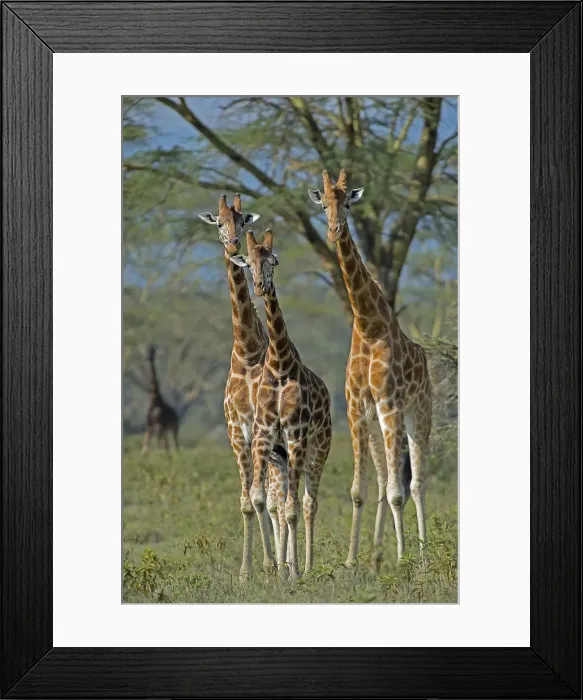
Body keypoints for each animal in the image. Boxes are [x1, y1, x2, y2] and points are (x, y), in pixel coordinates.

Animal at [230, 228, 332, 580]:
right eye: (248, 263)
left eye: (272, 260)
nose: (260, 286)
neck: (278, 364)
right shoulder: (263, 434)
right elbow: (260, 497)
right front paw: (268, 568)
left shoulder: (297, 433)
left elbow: (292, 508)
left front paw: (294, 572)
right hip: (283, 453)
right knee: (286, 498)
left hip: (318, 446)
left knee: (308, 502)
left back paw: (308, 568)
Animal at [308, 169, 432, 568]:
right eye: (323, 204)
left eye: (348, 203)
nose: (334, 230)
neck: (367, 325)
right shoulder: (357, 409)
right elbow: (359, 490)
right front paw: (352, 562)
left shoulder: (390, 405)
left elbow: (397, 491)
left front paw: (402, 560)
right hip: (379, 423)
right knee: (381, 480)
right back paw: (377, 555)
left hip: (418, 413)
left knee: (415, 482)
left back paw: (421, 557)